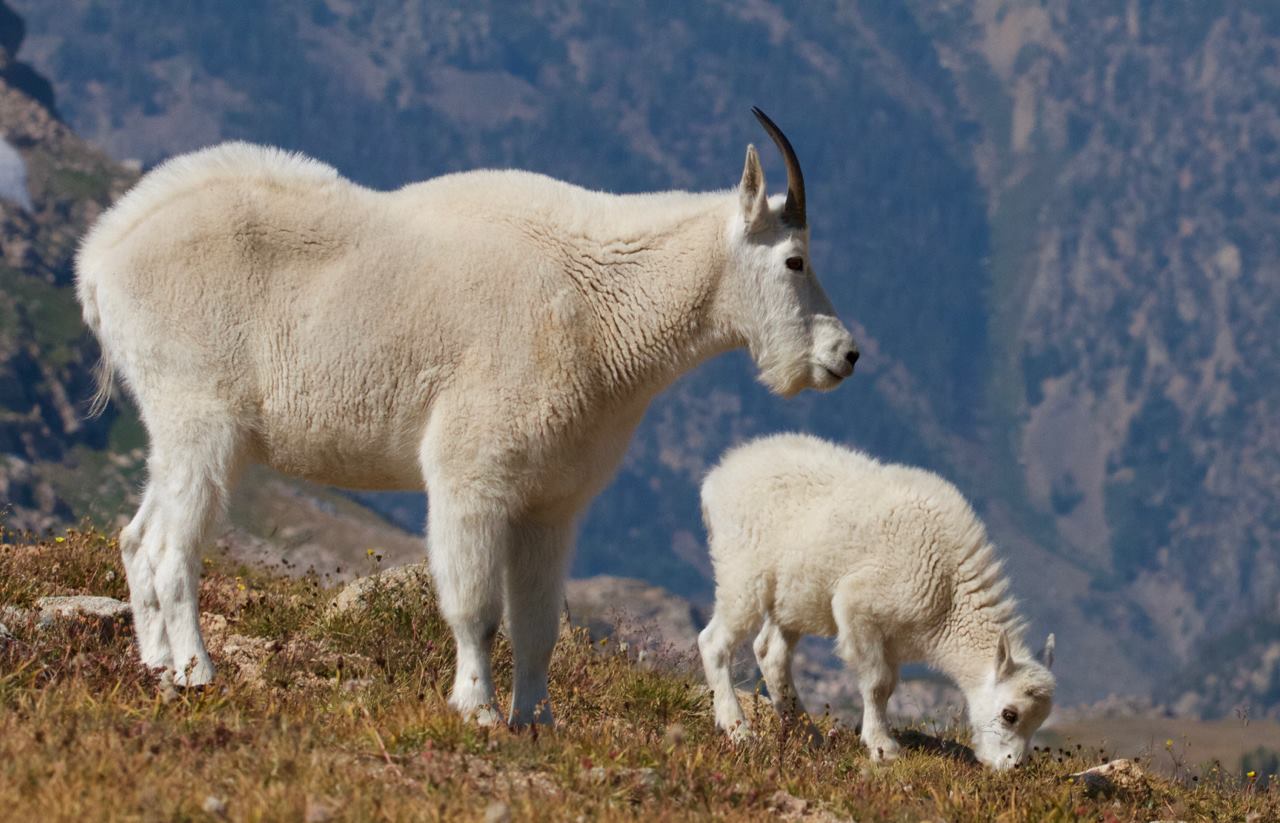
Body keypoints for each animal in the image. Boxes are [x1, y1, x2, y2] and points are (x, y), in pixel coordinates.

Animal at [77, 111, 860, 727]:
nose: (844, 354)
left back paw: (154, 665)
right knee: (172, 549)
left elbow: (538, 624)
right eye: (794, 260)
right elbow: (476, 606)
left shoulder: (552, 501)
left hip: (175, 431)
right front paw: (477, 709)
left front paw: (537, 721)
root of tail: (99, 260)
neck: (602, 304)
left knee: (136, 538)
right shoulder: (473, 473)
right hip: (200, 419)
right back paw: (197, 671)